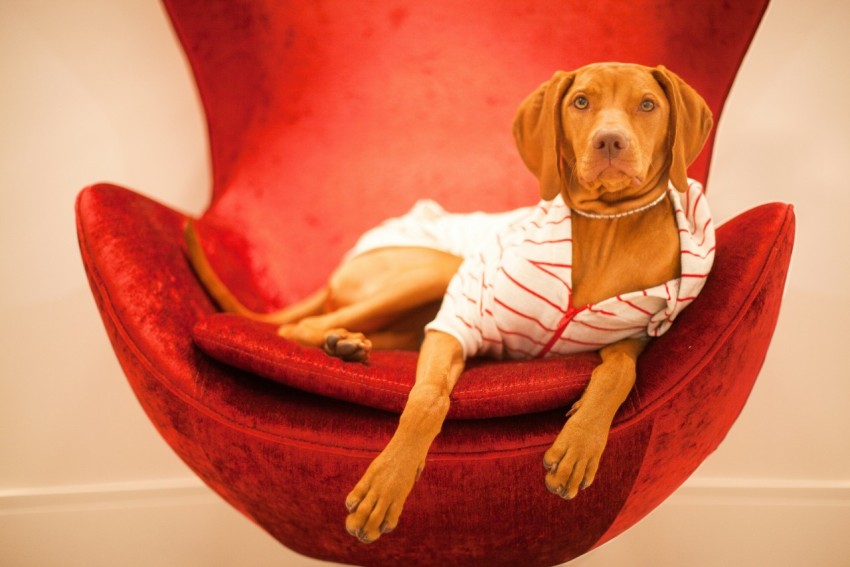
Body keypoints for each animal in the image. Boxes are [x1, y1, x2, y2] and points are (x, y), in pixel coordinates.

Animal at [182, 62, 712, 544]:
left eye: (648, 104)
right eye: (581, 102)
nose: (610, 143)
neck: (606, 229)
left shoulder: (633, 333)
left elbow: (620, 372)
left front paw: (580, 443)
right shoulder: (457, 319)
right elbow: (428, 397)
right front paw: (387, 483)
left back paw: (348, 345)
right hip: (436, 269)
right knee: (302, 327)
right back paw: (337, 340)